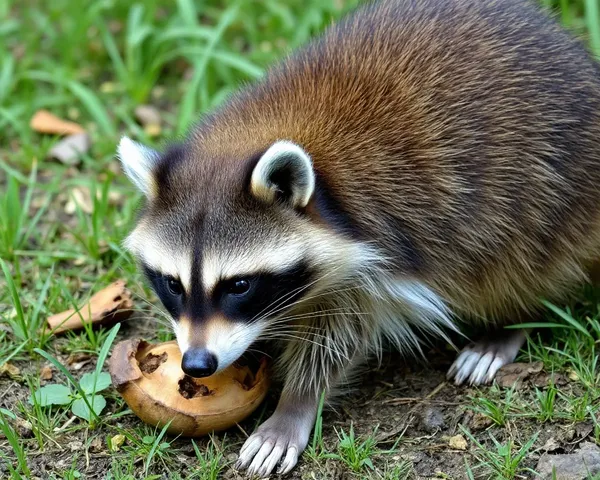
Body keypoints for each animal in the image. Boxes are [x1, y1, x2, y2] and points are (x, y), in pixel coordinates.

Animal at [117, 0, 600, 474]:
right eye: (173, 284)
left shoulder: (374, 256)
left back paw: (511, 321)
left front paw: (295, 405)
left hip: (551, 193)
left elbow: (339, 335)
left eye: (239, 285)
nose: (198, 364)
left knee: (519, 261)